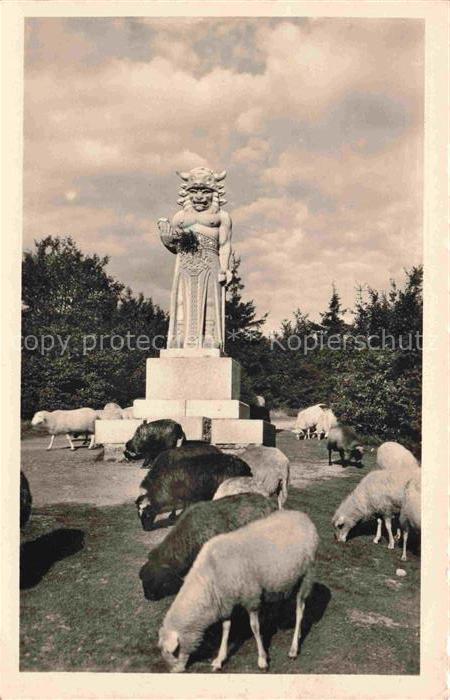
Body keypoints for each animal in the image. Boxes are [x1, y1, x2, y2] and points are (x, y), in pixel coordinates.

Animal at [158, 508, 320, 672]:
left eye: (174, 652)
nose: (174, 672)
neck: (210, 574)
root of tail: (302, 516)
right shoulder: (225, 601)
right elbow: (226, 628)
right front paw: (219, 659)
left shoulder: (251, 596)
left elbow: (254, 627)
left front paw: (262, 659)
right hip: (286, 580)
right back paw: (296, 633)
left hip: (307, 573)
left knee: (300, 610)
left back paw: (294, 648)